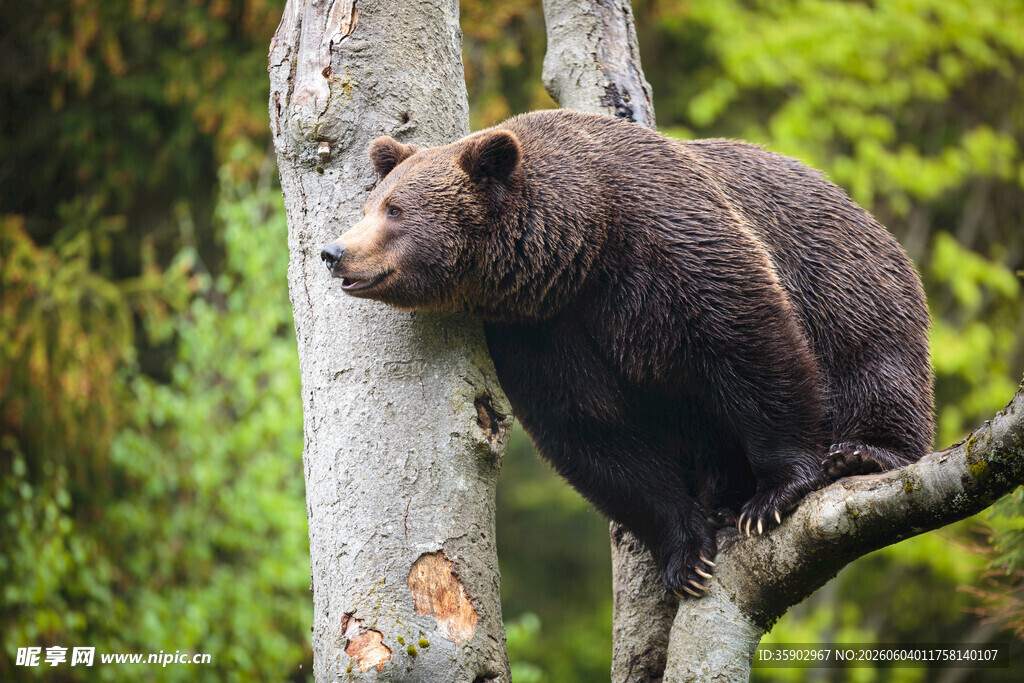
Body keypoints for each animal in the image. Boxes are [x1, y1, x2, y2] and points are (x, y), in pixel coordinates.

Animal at [319, 109, 934, 598]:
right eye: (372, 203)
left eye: (395, 209)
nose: (334, 251)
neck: (583, 243)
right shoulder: (540, 328)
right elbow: (593, 430)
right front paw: (687, 554)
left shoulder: (672, 246)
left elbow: (751, 347)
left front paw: (774, 495)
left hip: (845, 278)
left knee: (875, 362)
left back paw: (862, 453)